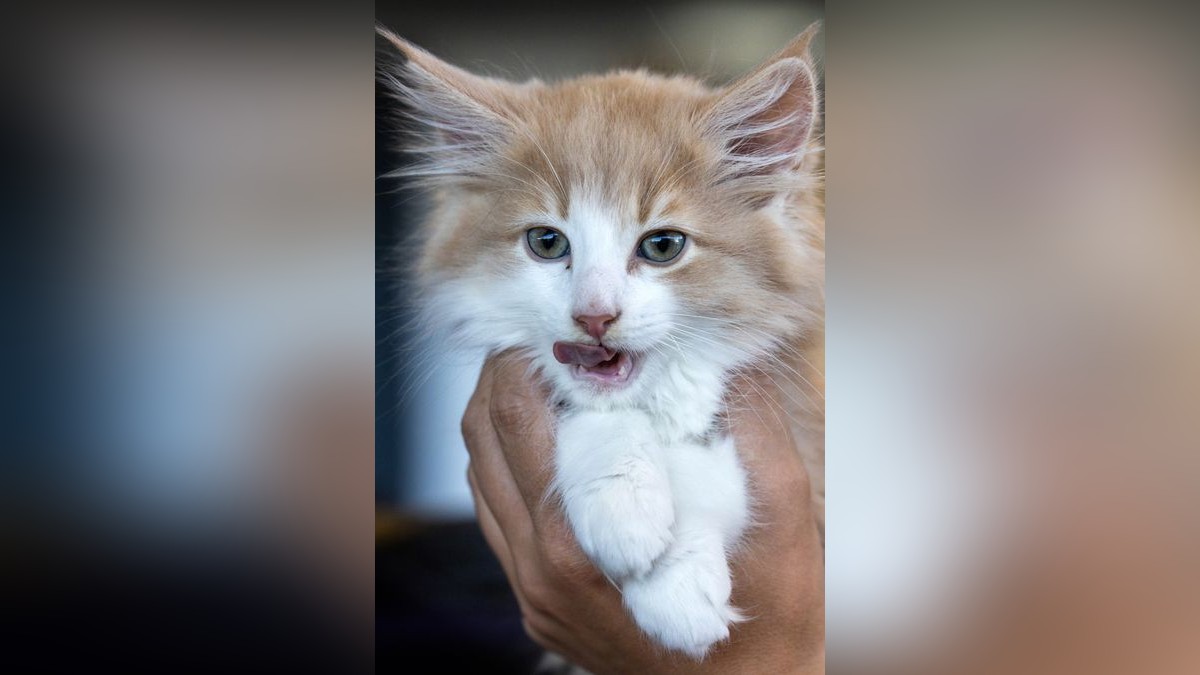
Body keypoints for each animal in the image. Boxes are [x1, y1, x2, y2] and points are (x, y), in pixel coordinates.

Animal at [376, 26, 825, 658]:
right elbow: (594, 414)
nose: (593, 316)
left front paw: (675, 583)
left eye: (663, 246)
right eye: (546, 242)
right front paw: (627, 510)